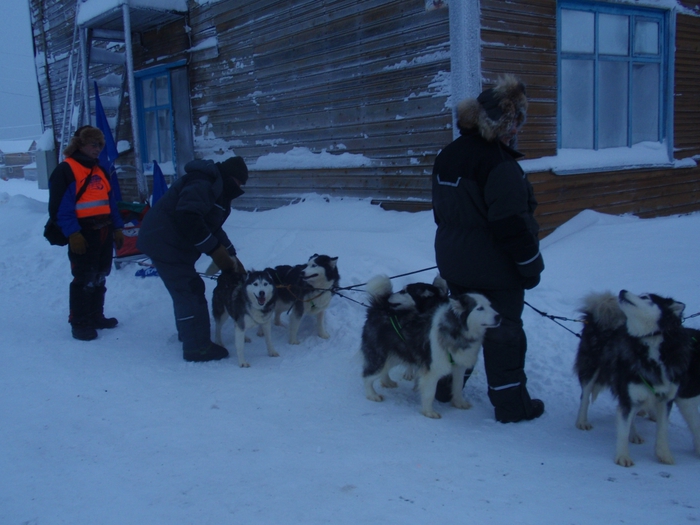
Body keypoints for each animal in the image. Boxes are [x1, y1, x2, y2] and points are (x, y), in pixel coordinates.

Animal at [360, 274, 504, 418]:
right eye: (479, 308)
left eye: (490, 305)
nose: (499, 316)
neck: (455, 331)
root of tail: (381, 307)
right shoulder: (433, 370)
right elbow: (429, 393)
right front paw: (429, 412)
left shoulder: (459, 367)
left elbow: (458, 387)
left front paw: (459, 403)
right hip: (380, 355)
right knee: (367, 376)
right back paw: (372, 394)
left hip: (395, 353)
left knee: (384, 369)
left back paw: (387, 382)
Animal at [572, 290, 692, 466]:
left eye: (646, 298)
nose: (622, 291)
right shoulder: (628, 393)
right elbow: (622, 428)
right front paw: (623, 456)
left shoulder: (665, 399)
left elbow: (662, 430)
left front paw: (664, 454)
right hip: (592, 370)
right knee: (585, 396)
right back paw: (582, 421)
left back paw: (634, 433)